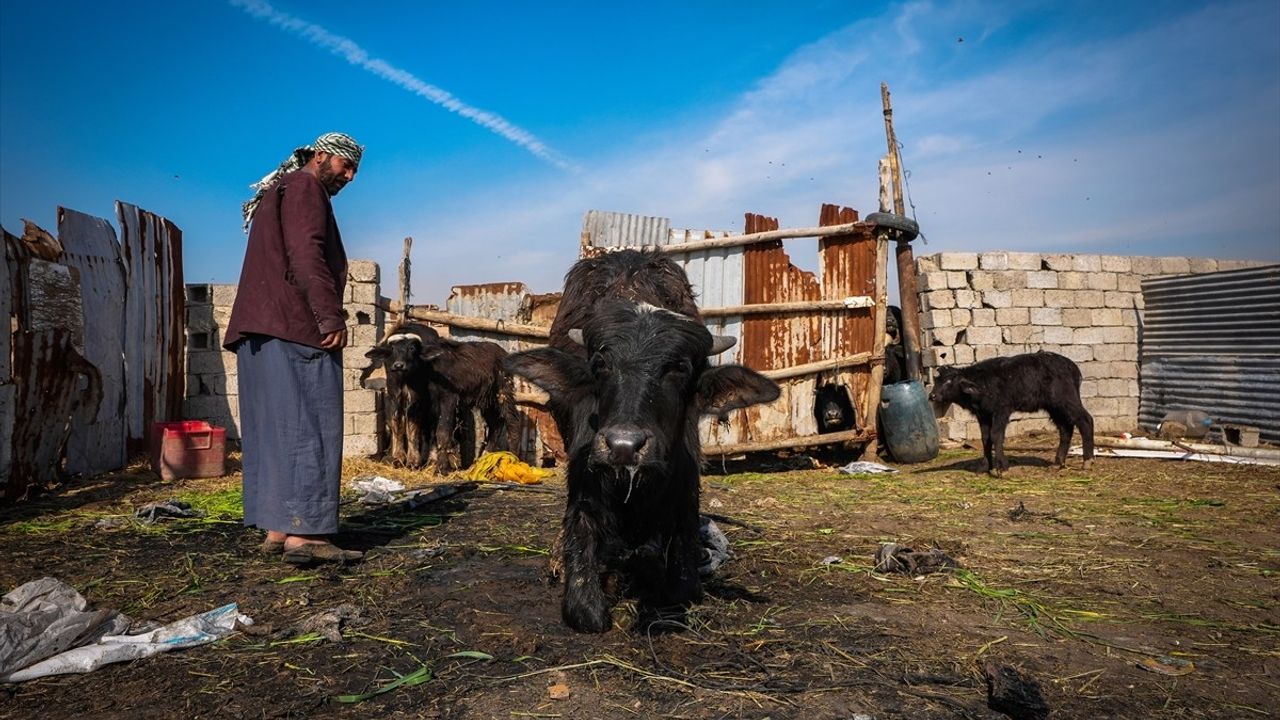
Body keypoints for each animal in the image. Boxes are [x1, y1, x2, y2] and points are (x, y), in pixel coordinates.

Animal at [926, 348, 1095, 474]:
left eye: (949, 381)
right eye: (936, 381)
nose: (932, 395)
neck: (983, 384)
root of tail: (1072, 367)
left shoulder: (1002, 410)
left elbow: (996, 435)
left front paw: (1002, 467)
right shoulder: (983, 415)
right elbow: (985, 438)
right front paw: (985, 467)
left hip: (1067, 399)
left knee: (1085, 421)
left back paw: (1087, 461)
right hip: (1053, 406)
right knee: (1065, 429)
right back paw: (1058, 462)